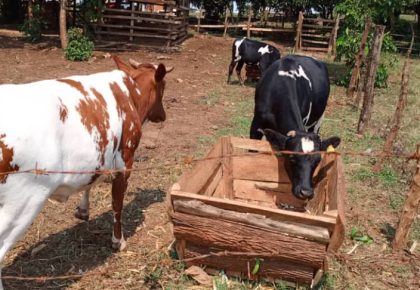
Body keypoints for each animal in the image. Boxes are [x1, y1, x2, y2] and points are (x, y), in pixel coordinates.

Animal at [0, 56, 172, 288]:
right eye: (163, 86)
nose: (162, 116)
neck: (130, 92)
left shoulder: (97, 156)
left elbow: (89, 182)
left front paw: (83, 210)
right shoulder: (125, 161)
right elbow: (117, 205)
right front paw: (118, 241)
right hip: (23, 201)